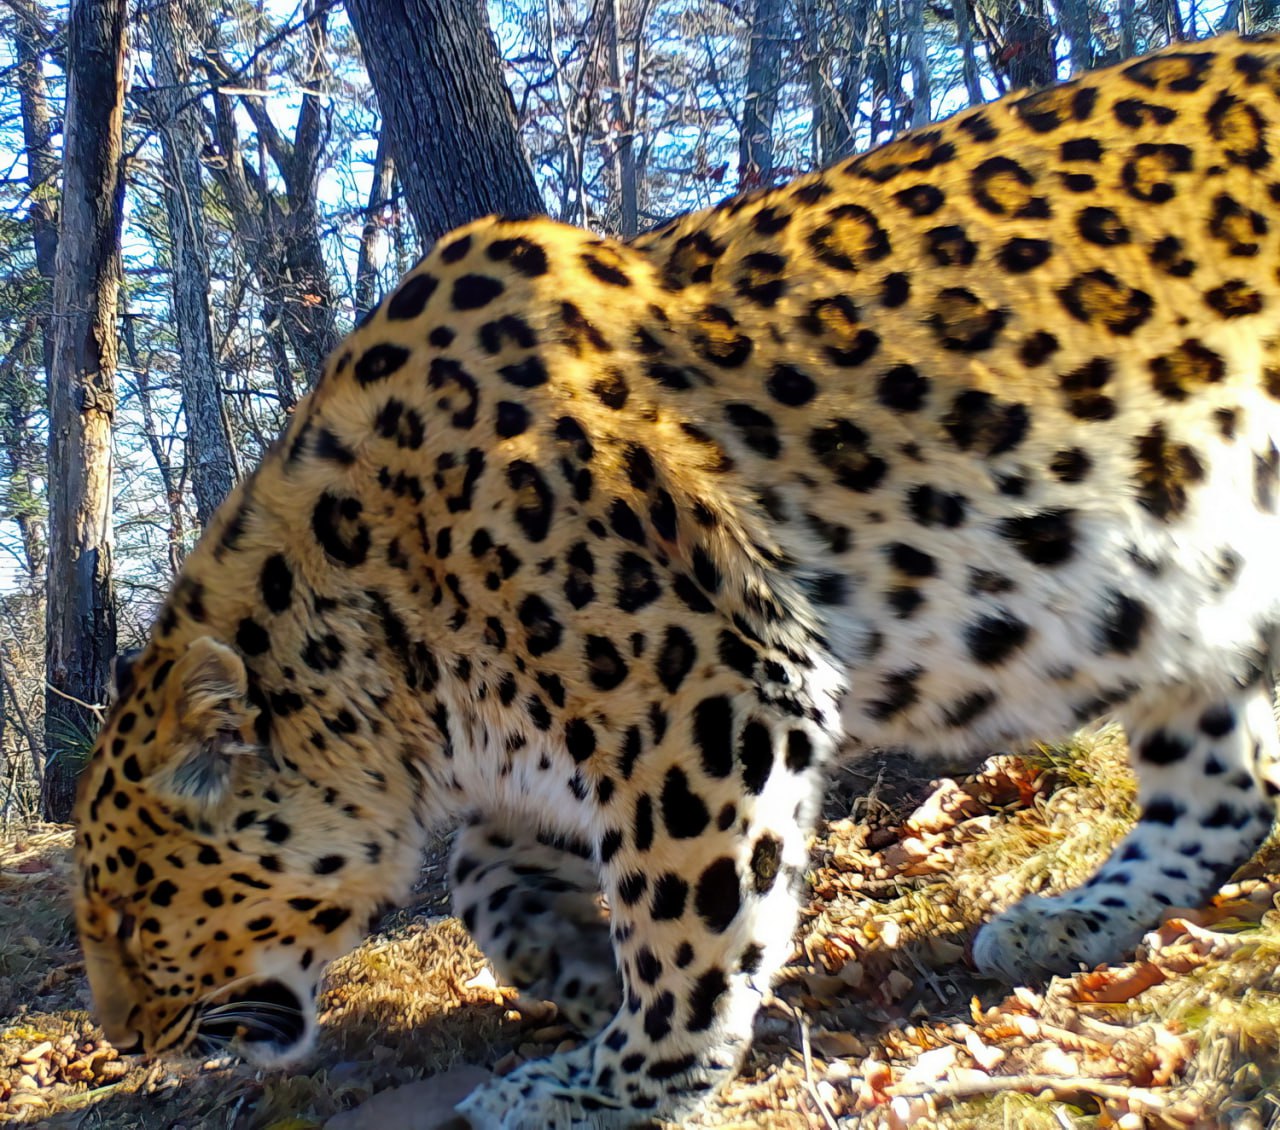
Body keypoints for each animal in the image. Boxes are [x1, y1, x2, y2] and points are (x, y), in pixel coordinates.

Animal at [74, 35, 1280, 1130]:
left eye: (133, 913)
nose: (124, 1039)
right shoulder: (564, 748)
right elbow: (486, 879)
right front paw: (576, 973)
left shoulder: (709, 699)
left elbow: (686, 921)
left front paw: (614, 1082)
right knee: (1225, 790)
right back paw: (1071, 919)